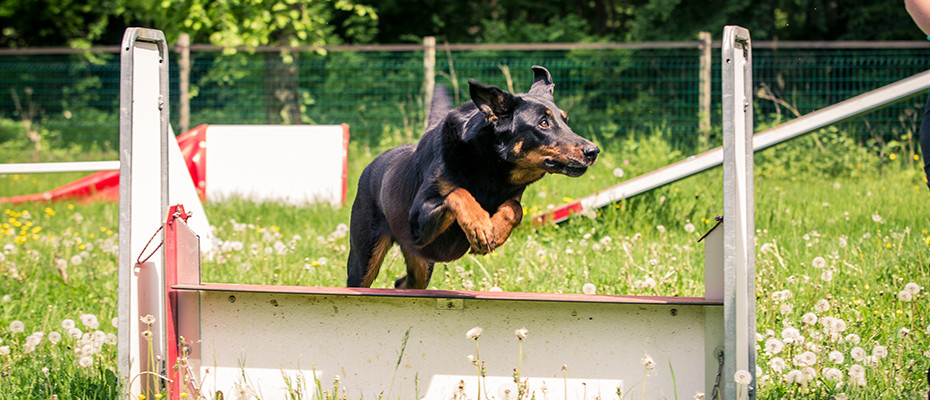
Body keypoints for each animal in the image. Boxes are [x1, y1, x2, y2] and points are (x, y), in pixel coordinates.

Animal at [344, 67, 600, 290]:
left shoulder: (510, 195)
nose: (593, 151)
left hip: (422, 263)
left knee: (402, 284)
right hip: (365, 258)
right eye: (543, 123)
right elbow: (459, 193)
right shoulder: (417, 219)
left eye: (565, 120)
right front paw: (480, 227)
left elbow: (515, 208)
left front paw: (497, 231)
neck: (490, 169)